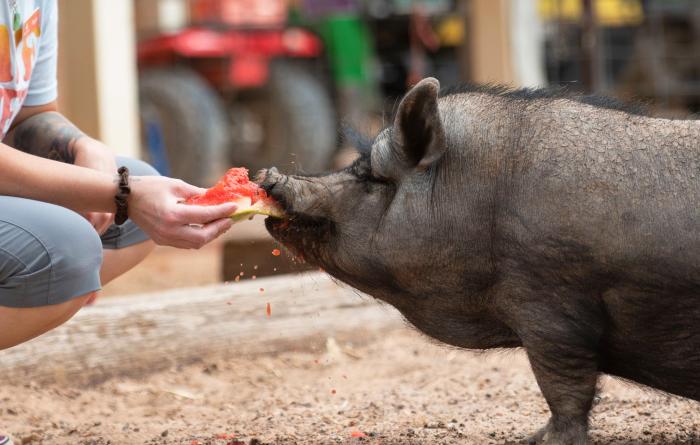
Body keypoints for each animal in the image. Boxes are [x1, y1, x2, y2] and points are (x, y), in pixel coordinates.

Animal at [258, 78, 700, 445]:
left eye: (372, 177)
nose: (269, 176)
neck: (479, 203)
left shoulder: (550, 306)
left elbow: (564, 387)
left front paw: (538, 441)